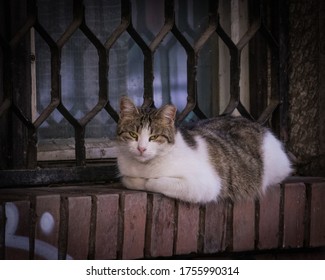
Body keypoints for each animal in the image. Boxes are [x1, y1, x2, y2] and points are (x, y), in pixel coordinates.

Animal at [116, 96, 292, 203]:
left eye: (154, 137)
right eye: (133, 134)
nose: (141, 148)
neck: (144, 167)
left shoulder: (205, 185)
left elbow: (153, 182)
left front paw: (147, 181)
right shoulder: (126, 173)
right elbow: (129, 179)